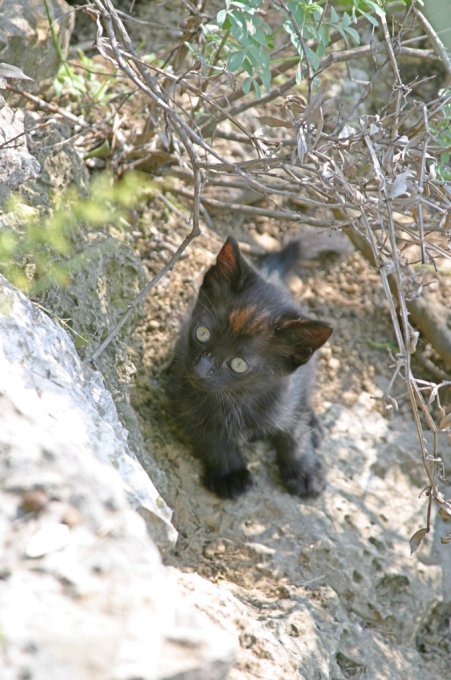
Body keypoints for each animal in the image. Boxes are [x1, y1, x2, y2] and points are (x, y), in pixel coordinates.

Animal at [168, 238, 334, 500]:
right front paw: (230, 475)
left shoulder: (286, 396)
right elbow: (210, 438)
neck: (238, 399)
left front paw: (304, 471)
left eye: (239, 364)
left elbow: (295, 434)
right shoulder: (183, 398)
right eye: (202, 333)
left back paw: (314, 425)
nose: (200, 370)